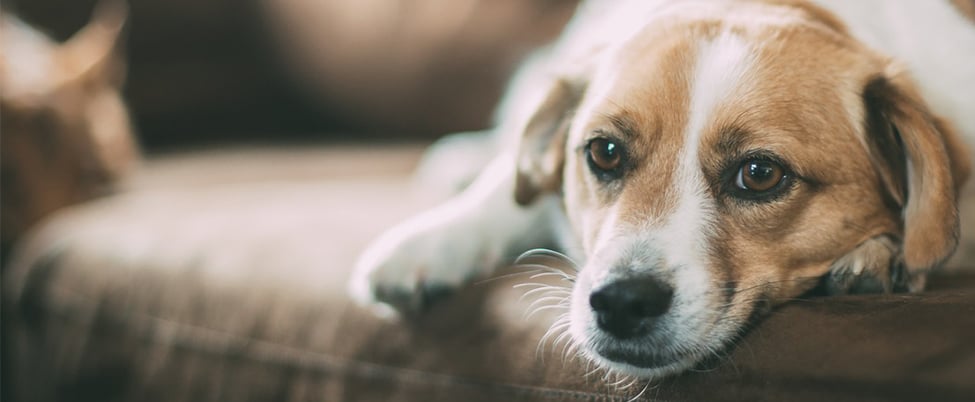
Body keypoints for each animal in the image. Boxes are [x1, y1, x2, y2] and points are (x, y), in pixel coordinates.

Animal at [346, 0, 972, 378]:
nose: (621, 303)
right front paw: (429, 243)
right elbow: (509, 185)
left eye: (760, 173)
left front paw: (878, 256)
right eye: (604, 152)